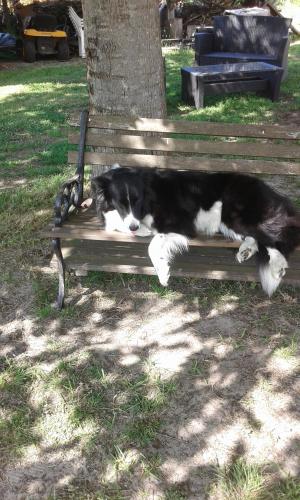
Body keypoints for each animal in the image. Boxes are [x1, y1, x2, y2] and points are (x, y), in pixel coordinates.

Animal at [91, 164, 300, 296]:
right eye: (120, 203)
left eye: (137, 201)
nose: (133, 226)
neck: (151, 194)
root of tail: (273, 192)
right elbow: (118, 224)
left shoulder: (179, 223)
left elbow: (153, 244)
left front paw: (162, 273)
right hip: (228, 222)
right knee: (256, 238)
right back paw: (246, 251)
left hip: (235, 211)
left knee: (274, 237)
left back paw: (277, 265)